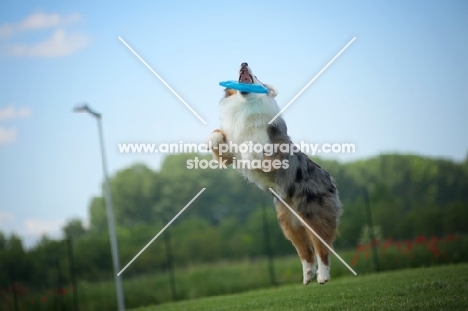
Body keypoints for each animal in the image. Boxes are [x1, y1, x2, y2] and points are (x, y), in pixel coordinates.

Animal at [207, 62, 342, 286]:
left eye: (257, 76)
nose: (244, 63)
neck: (245, 106)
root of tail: (329, 178)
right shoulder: (230, 151)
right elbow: (217, 137)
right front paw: (212, 139)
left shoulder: (274, 148)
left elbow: (255, 149)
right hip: (288, 224)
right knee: (305, 252)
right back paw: (307, 275)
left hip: (313, 214)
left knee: (322, 248)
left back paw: (322, 276)